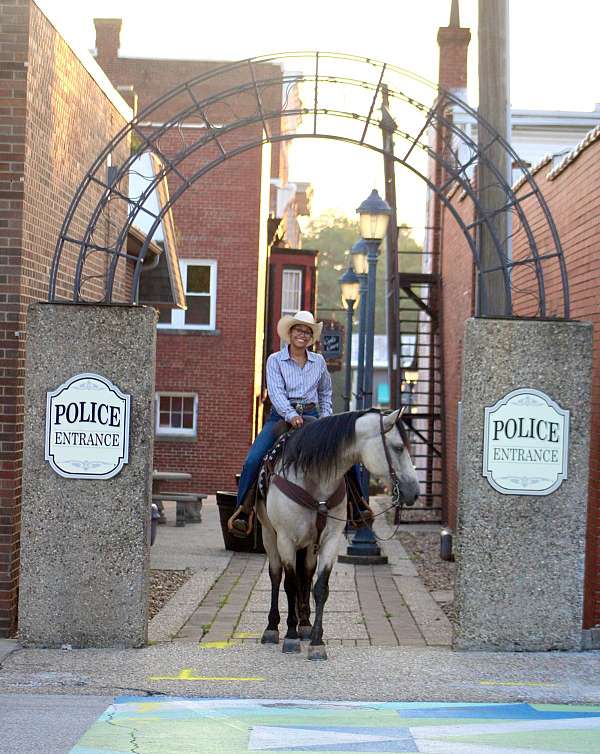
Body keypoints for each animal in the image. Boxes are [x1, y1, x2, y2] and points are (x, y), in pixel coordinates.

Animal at [255, 406, 420, 656]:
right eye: (399, 447)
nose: (415, 491)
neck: (314, 479)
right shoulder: (285, 539)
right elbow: (289, 584)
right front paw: (291, 637)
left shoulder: (330, 541)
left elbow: (320, 588)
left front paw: (316, 641)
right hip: (268, 535)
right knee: (276, 576)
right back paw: (272, 628)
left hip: (309, 545)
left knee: (306, 575)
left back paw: (305, 625)